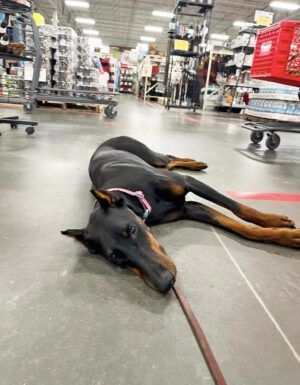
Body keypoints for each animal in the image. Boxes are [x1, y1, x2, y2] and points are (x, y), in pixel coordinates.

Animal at [62, 135, 298, 292]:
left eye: (132, 230)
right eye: (115, 257)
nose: (165, 282)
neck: (137, 196)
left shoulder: (187, 183)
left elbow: (239, 207)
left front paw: (273, 220)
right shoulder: (190, 209)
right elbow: (241, 228)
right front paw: (283, 236)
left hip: (151, 157)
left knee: (167, 158)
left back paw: (195, 163)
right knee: (169, 162)